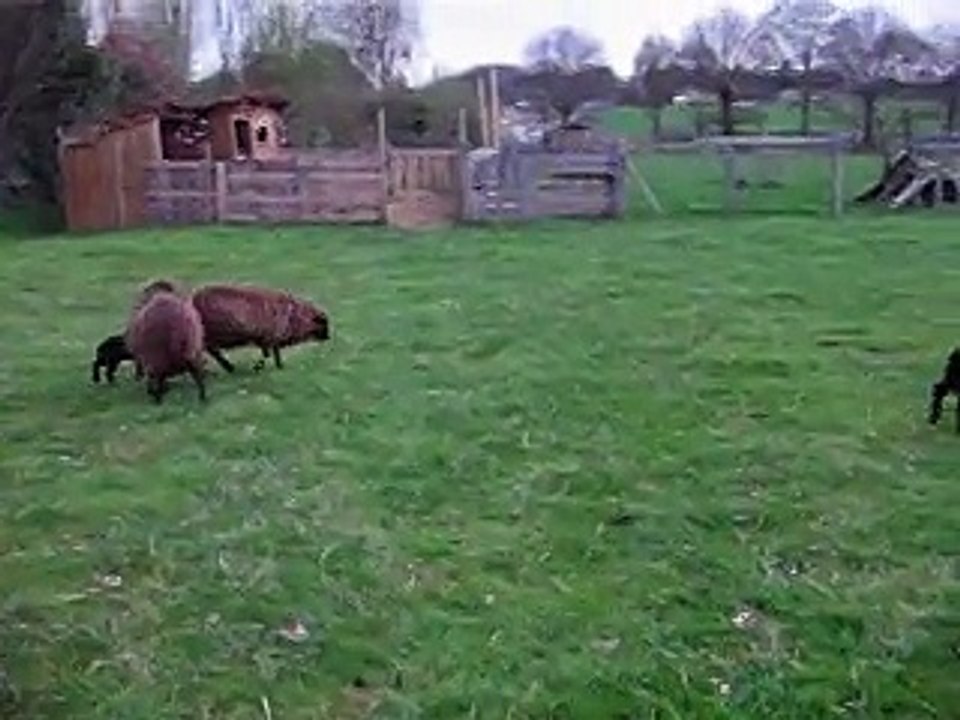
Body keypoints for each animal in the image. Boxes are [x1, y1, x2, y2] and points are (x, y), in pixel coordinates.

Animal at [190, 284, 331, 374]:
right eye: (323, 324)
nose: (328, 338)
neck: (294, 317)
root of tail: (193, 299)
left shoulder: (270, 338)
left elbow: (274, 353)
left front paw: (279, 367)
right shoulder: (269, 337)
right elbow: (268, 354)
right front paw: (258, 367)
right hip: (210, 335)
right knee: (212, 351)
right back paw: (228, 367)